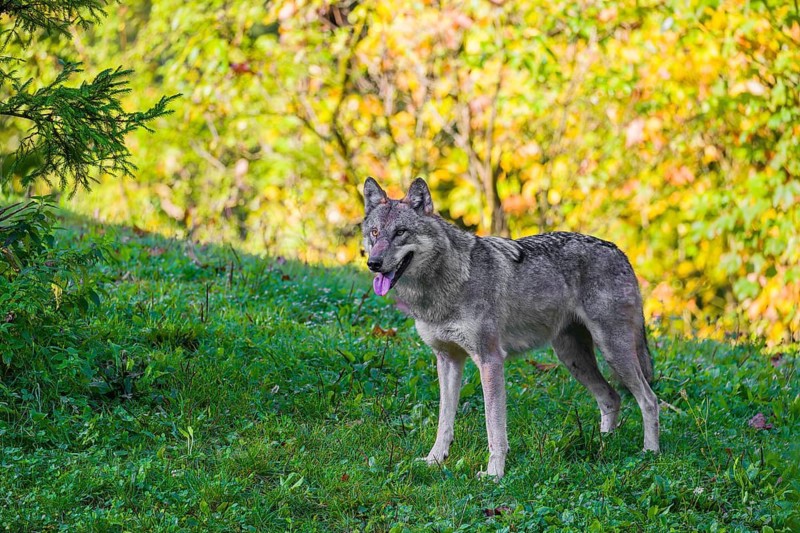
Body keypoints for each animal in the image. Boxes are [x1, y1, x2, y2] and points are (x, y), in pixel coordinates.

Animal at [361, 177, 659, 479]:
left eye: (401, 232)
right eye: (374, 232)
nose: (373, 264)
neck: (445, 285)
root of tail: (620, 252)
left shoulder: (490, 360)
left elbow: (494, 425)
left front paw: (494, 473)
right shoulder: (447, 360)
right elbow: (444, 420)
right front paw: (435, 460)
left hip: (612, 351)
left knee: (649, 399)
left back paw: (650, 452)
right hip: (573, 358)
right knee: (611, 398)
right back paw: (604, 446)